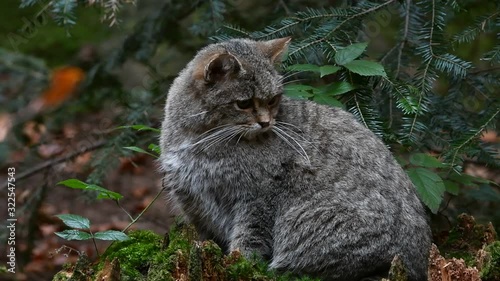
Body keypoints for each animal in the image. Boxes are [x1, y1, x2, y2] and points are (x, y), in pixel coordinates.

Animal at [159, 37, 430, 280]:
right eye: (244, 103)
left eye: (272, 100)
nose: (266, 122)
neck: (198, 139)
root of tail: (420, 261)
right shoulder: (194, 204)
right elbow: (207, 236)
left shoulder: (257, 197)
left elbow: (248, 239)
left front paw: (238, 264)